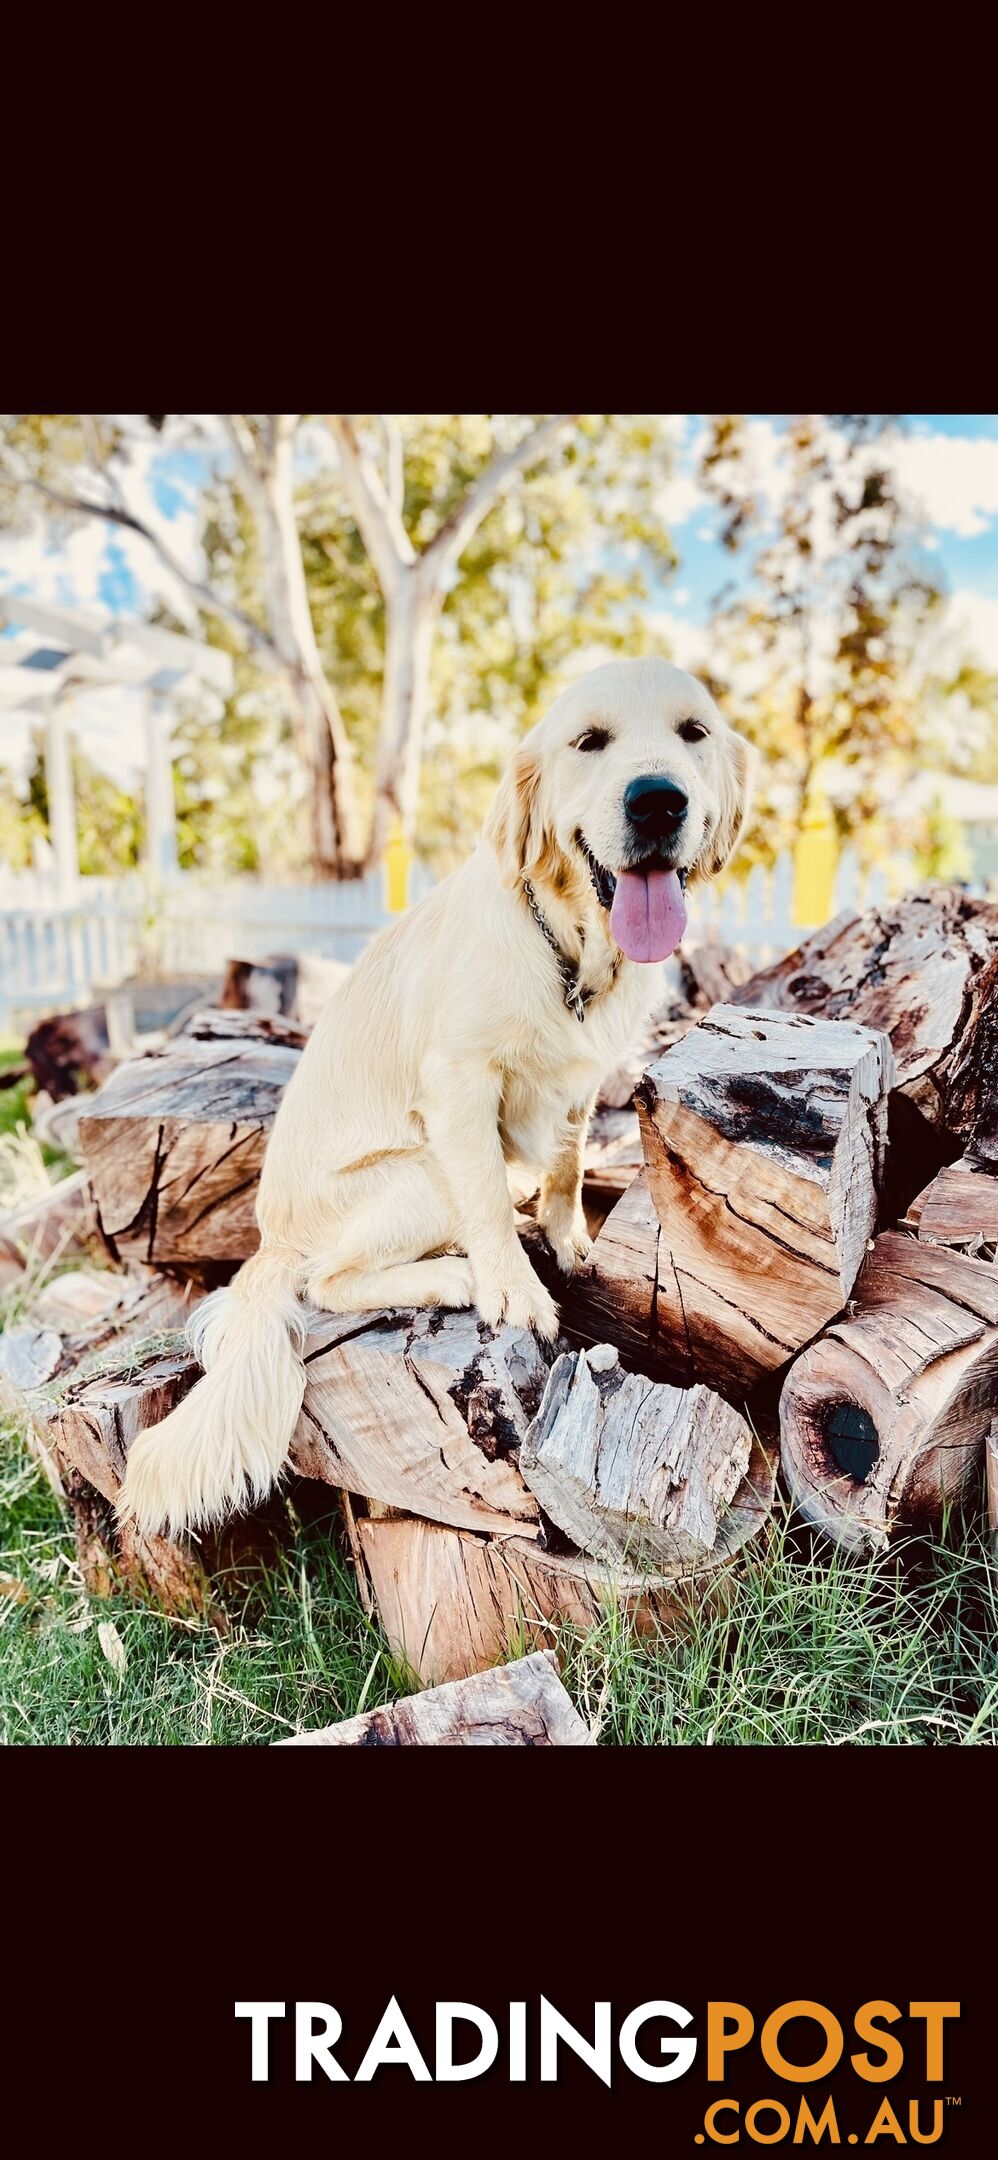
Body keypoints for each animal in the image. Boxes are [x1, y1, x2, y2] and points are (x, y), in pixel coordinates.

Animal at [120, 656, 751, 1537]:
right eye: (589, 741)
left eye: (693, 732)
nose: (658, 800)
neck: (567, 948)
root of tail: (269, 1240)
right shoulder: (459, 1082)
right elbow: (487, 1197)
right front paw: (514, 1287)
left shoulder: (582, 1082)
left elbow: (566, 1168)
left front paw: (568, 1240)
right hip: (416, 1173)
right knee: (328, 1280)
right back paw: (450, 1275)